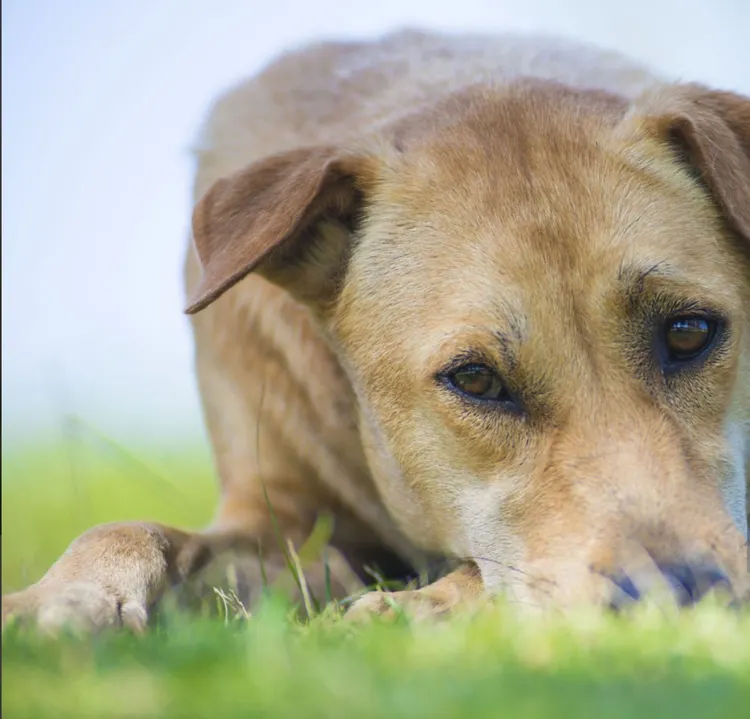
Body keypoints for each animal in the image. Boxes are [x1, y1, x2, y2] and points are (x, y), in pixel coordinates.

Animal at [2, 31, 748, 632]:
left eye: (688, 332)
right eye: (475, 378)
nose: (684, 593)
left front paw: (422, 604)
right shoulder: (276, 515)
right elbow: (135, 530)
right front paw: (62, 597)